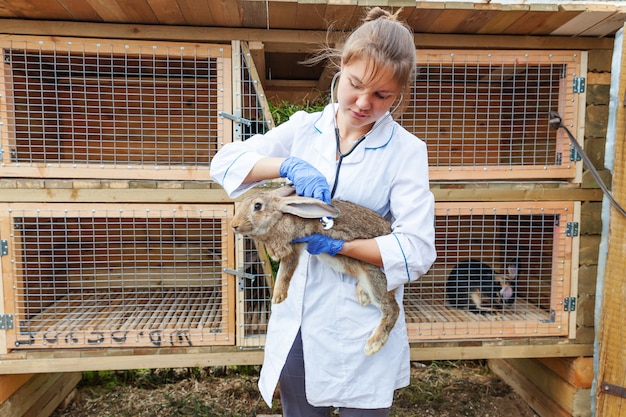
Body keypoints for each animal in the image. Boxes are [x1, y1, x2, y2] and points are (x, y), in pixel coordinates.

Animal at [232, 185, 398, 354]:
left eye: (257, 206)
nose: (234, 225)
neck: (280, 218)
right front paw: (273, 255)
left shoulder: (293, 247)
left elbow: (285, 272)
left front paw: (278, 297)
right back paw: (362, 295)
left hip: (374, 274)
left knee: (391, 308)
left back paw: (373, 344)